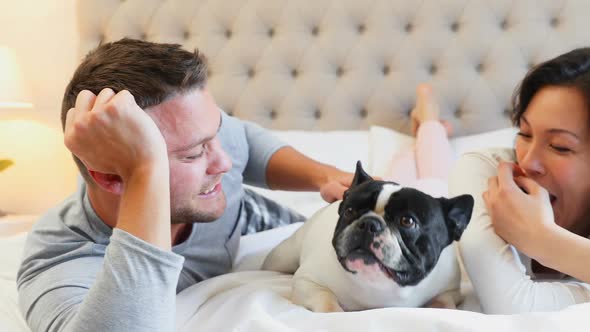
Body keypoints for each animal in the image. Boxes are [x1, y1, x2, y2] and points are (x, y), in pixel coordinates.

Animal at [264, 162, 476, 312]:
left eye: (407, 221)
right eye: (350, 211)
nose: (369, 224)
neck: (380, 285)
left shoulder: (449, 291)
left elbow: (445, 304)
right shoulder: (307, 281)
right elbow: (326, 301)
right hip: (282, 257)